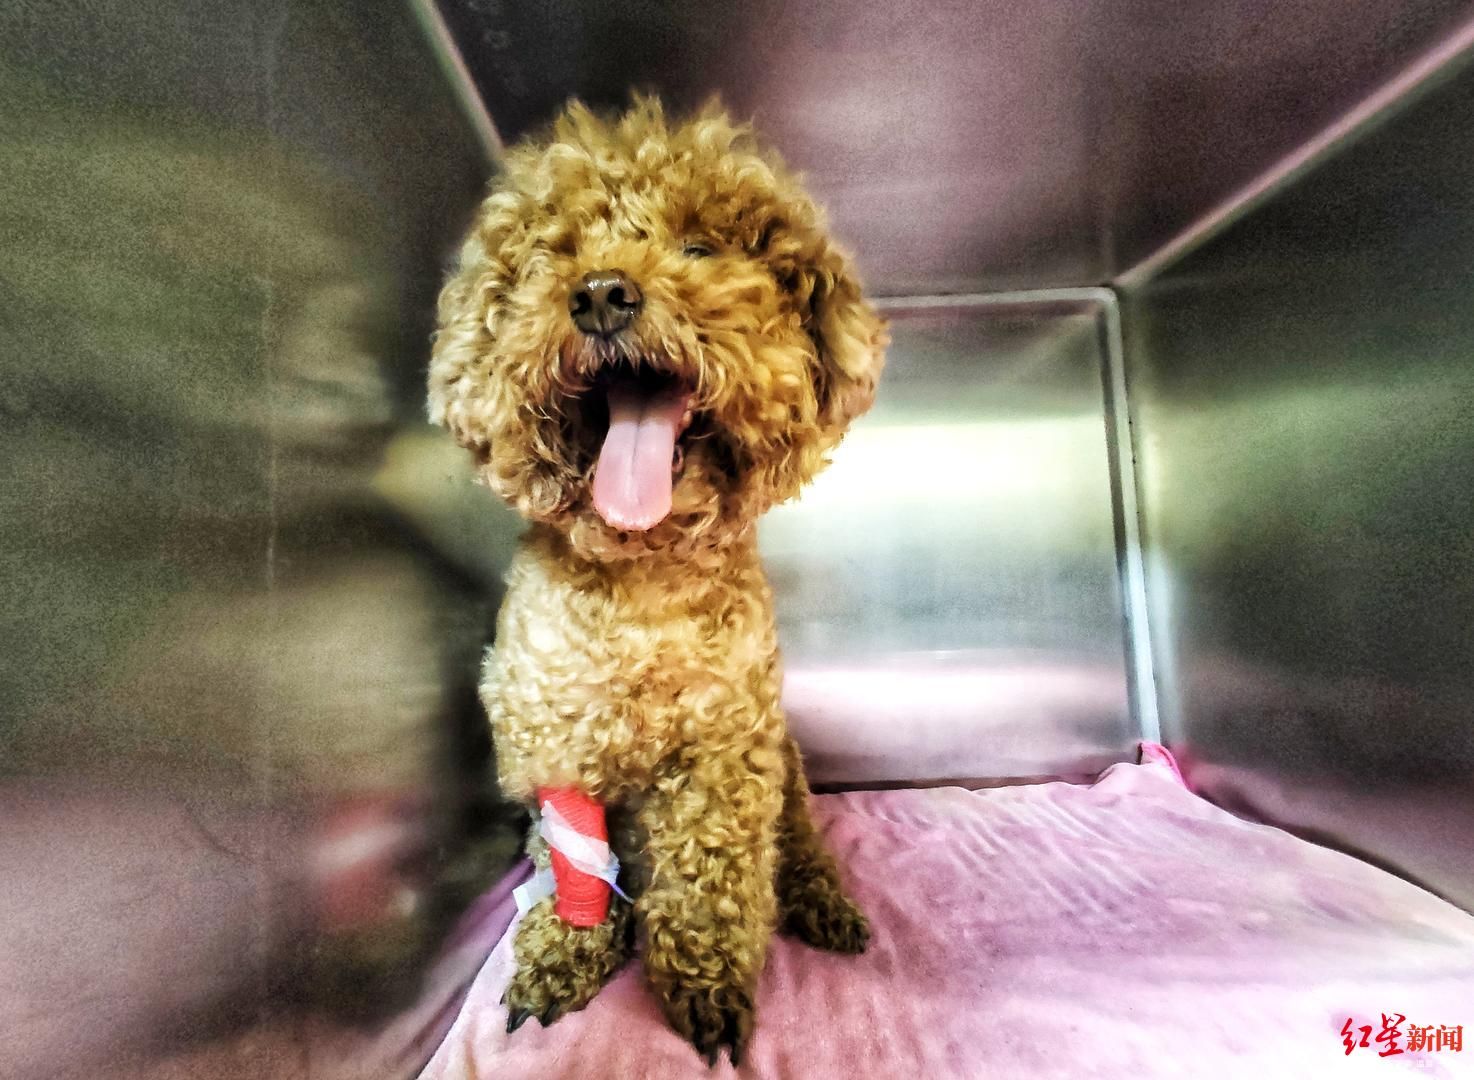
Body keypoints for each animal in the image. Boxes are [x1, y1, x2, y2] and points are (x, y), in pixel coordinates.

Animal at [427, 95, 886, 1066]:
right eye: (555, 255)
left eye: (700, 248)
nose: (601, 293)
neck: (643, 573)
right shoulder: (553, 737)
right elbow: (574, 867)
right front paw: (566, 954)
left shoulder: (725, 753)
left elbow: (711, 879)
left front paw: (704, 988)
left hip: (788, 768)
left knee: (798, 845)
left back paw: (823, 906)